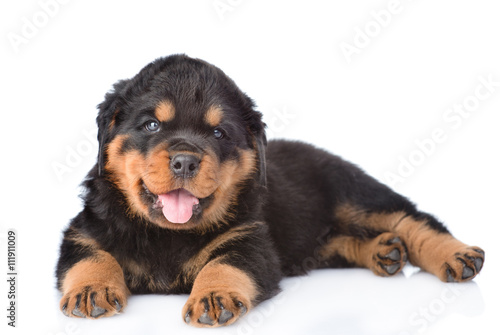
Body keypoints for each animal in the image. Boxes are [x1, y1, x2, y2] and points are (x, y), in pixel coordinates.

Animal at [57, 55, 484, 328]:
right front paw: (91, 289)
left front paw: (213, 296)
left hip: (356, 194)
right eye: (151, 125)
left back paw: (457, 255)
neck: (167, 233)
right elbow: (90, 256)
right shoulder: (82, 229)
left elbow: (225, 263)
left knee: (412, 219)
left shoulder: (251, 240)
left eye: (218, 133)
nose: (184, 161)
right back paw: (385, 251)